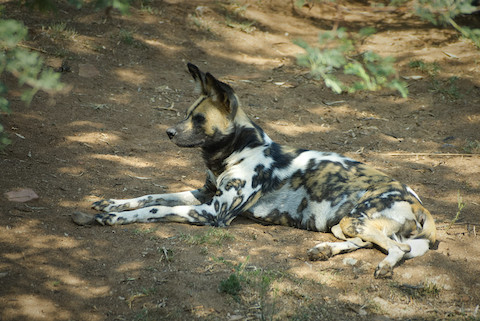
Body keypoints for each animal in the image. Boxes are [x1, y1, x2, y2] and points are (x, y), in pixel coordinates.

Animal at [93, 63, 436, 278]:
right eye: (186, 114)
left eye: (199, 119)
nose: (168, 132)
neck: (233, 153)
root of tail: (418, 201)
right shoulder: (204, 193)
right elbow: (151, 195)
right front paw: (112, 203)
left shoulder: (213, 212)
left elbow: (153, 210)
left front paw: (115, 217)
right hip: (344, 223)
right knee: (367, 242)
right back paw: (323, 251)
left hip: (357, 219)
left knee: (400, 247)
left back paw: (384, 267)